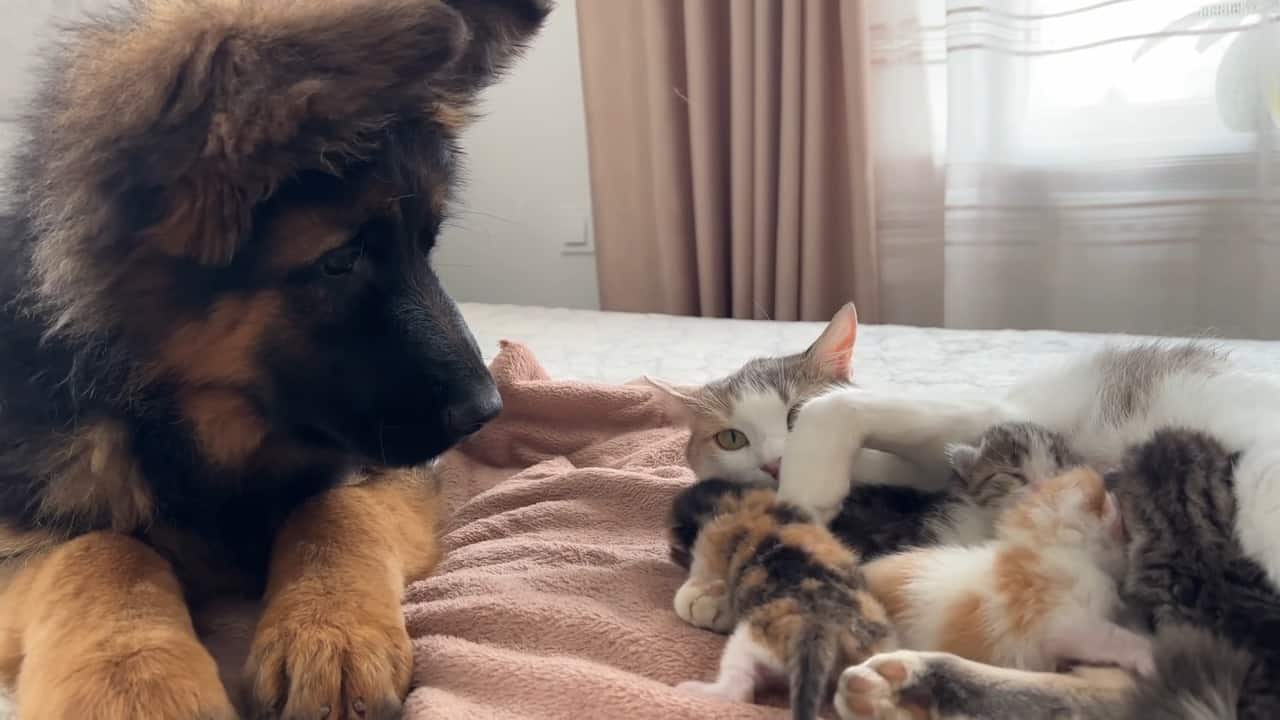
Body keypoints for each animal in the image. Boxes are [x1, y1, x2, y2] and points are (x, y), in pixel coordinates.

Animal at [0, 2, 545, 712]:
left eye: (425, 246)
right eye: (340, 262)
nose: (488, 410)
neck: (201, 430)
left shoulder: (389, 465)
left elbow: (334, 507)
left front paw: (331, 633)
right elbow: (102, 549)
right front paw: (135, 683)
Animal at [670, 476, 901, 717]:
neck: (740, 501)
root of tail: (822, 623)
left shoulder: (709, 546)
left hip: (749, 642)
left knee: (740, 688)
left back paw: (692, 689)